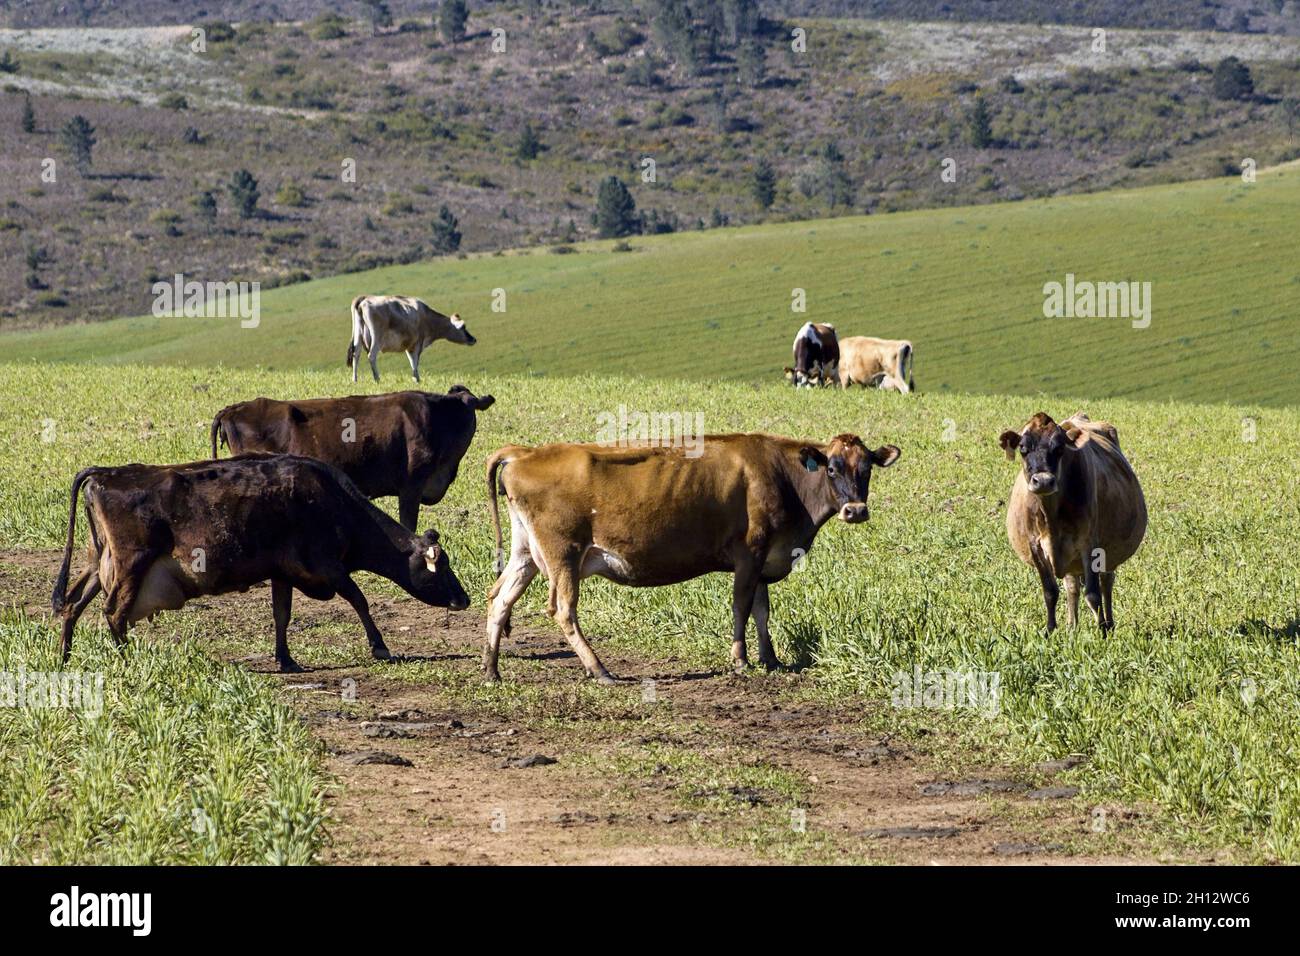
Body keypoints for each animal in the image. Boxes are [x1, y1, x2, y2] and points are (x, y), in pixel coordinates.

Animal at [52, 454, 470, 672]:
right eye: (443, 566)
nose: (463, 599)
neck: (334, 502)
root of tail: (106, 473)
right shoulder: (328, 567)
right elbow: (359, 600)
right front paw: (379, 646)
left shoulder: (282, 572)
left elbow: (281, 614)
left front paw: (286, 659)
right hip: (130, 565)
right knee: (114, 613)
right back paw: (127, 660)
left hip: (98, 563)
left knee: (73, 605)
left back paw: (64, 657)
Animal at [347, 294, 476, 383]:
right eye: (463, 327)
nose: (473, 339)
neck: (427, 317)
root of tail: (365, 298)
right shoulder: (418, 344)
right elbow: (415, 362)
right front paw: (417, 380)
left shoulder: (409, 346)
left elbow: (411, 361)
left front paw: (415, 379)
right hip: (376, 338)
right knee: (371, 356)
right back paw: (377, 379)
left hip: (358, 335)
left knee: (356, 354)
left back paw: (355, 380)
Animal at [483, 432, 901, 683]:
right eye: (832, 468)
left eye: (866, 469)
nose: (856, 511)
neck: (782, 476)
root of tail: (525, 452)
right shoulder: (749, 553)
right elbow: (741, 607)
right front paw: (741, 659)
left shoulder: (766, 557)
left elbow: (763, 611)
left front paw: (771, 659)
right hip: (563, 553)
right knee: (563, 609)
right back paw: (599, 669)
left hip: (526, 553)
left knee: (499, 599)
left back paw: (491, 669)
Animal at [998, 412, 1146, 633]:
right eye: (1023, 448)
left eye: (1060, 449)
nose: (1043, 481)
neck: (1051, 518)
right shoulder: (1035, 547)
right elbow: (1050, 592)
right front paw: (1050, 630)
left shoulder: (1089, 545)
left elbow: (1093, 594)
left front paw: (1102, 631)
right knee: (1072, 586)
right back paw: (1072, 626)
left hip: (1108, 552)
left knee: (1106, 583)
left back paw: (1109, 624)